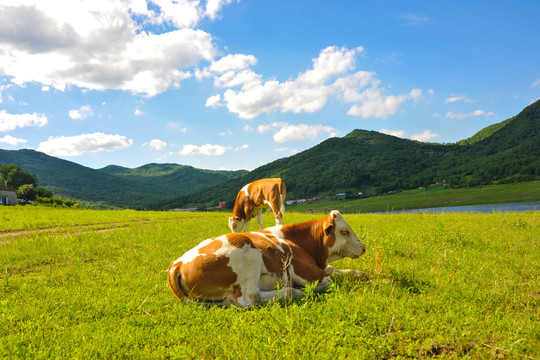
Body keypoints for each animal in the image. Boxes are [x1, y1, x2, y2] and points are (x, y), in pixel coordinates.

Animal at [168, 210, 368, 308]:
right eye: (345, 231)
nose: (364, 248)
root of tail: (176, 264)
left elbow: (339, 271)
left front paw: (361, 274)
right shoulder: (302, 269)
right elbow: (329, 279)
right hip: (249, 252)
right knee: (251, 297)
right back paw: (292, 292)